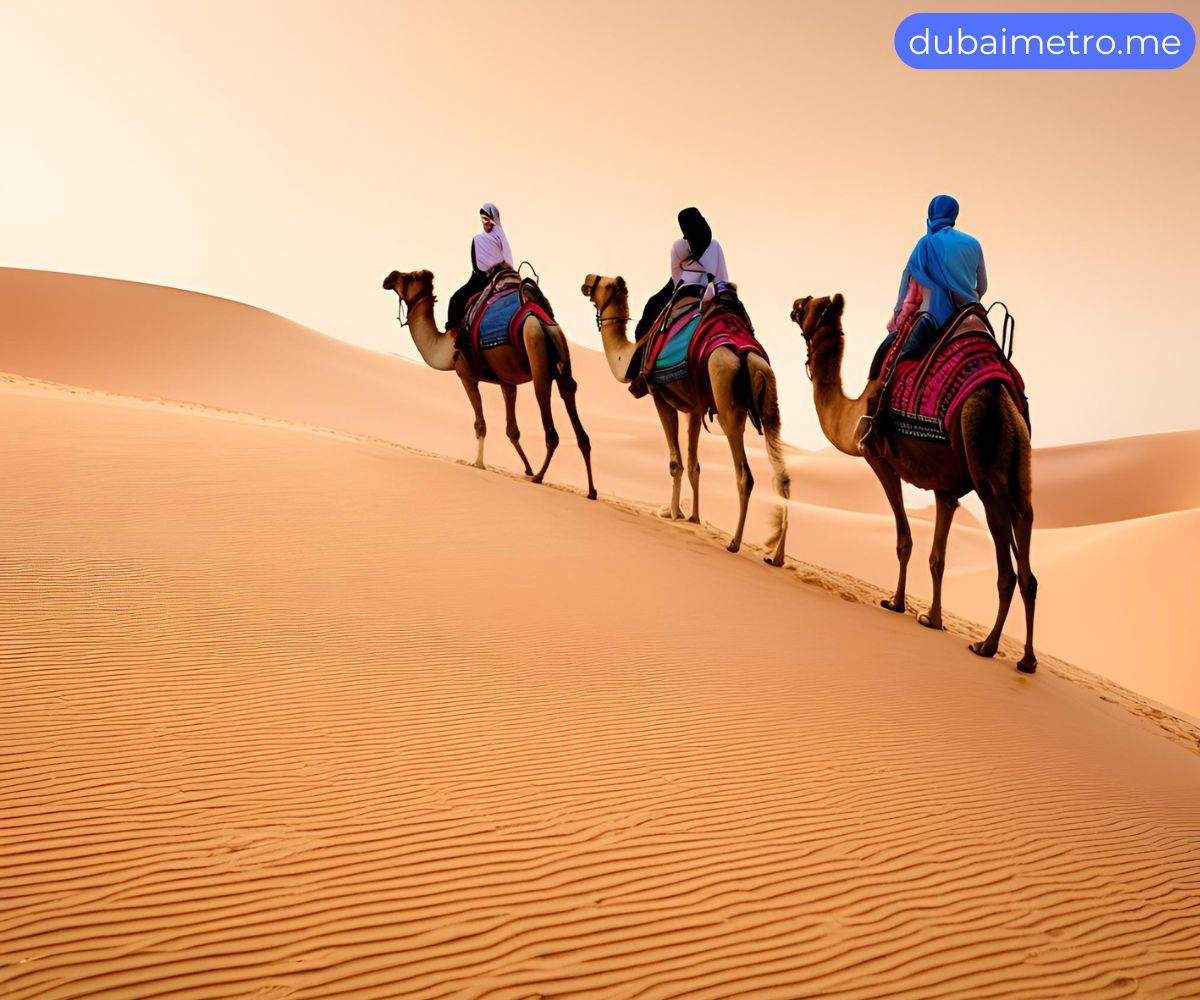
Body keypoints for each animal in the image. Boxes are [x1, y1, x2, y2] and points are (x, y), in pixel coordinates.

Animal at [384, 268, 595, 499]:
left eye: (408, 277)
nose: (389, 277)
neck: (446, 349)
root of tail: (540, 318)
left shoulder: (466, 376)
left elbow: (480, 424)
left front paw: (478, 463)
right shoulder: (507, 383)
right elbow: (512, 430)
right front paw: (526, 468)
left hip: (534, 346)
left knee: (547, 412)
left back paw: (539, 477)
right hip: (560, 354)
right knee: (570, 399)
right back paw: (590, 490)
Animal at [578, 273, 787, 566]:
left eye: (605, 283)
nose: (586, 281)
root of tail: (745, 354)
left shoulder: (660, 397)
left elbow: (676, 462)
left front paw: (673, 513)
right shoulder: (696, 410)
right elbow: (694, 464)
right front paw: (694, 517)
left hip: (727, 401)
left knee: (745, 474)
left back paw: (734, 542)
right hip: (770, 401)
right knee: (783, 478)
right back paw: (776, 556)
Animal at [792, 292, 1036, 677]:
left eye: (809, 305)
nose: (793, 304)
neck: (850, 412)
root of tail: (1006, 403)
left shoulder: (878, 459)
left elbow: (904, 540)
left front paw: (895, 602)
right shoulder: (946, 492)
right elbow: (938, 557)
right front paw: (933, 619)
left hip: (985, 458)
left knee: (1007, 571)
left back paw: (986, 645)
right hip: (1019, 470)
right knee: (1027, 551)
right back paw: (1027, 660)